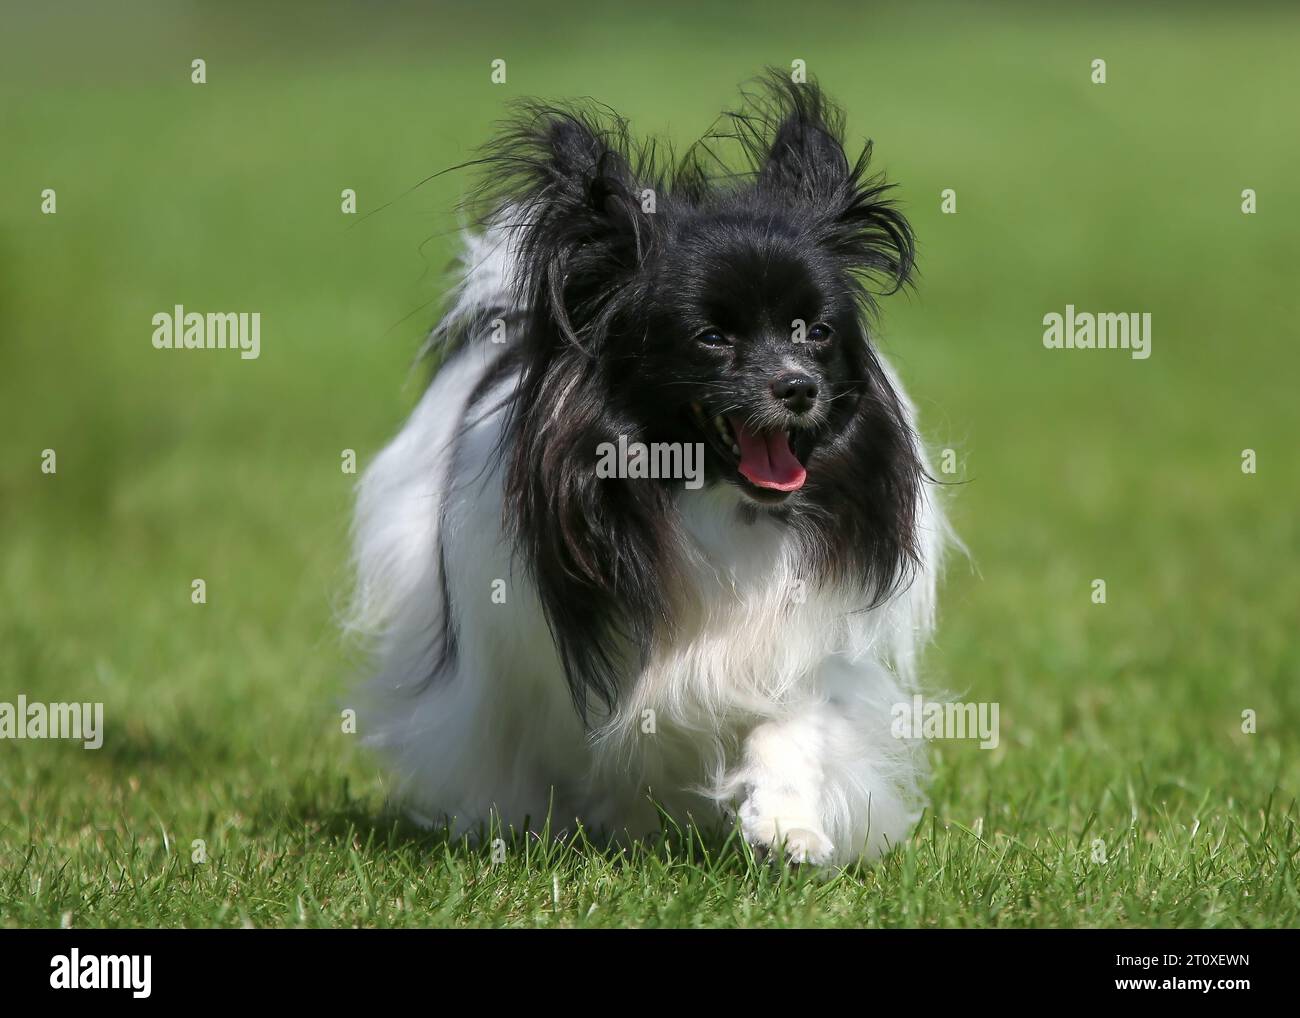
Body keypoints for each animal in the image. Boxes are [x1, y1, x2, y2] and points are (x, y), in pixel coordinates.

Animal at [351, 73, 951, 868]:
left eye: (817, 333)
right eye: (711, 339)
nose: (798, 387)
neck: (709, 499)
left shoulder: (803, 651)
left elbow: (794, 725)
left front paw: (786, 824)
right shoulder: (518, 664)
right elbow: (534, 755)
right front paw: (533, 834)